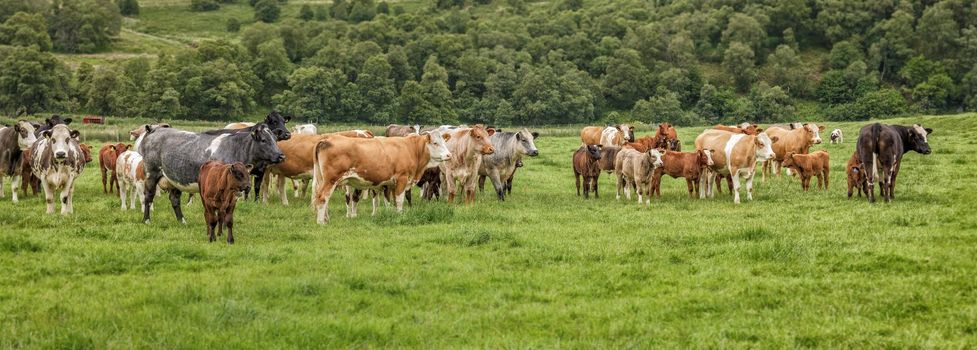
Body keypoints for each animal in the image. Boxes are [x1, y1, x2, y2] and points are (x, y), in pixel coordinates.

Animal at [139, 123, 288, 223]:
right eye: (264, 140)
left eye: (275, 139)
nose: (281, 156)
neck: (235, 148)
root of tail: (155, 129)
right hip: (151, 173)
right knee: (148, 196)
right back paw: (146, 220)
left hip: (173, 179)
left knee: (175, 199)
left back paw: (182, 221)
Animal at [310, 131, 452, 224]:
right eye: (435, 143)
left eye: (445, 142)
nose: (449, 155)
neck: (411, 149)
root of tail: (327, 139)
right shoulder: (402, 179)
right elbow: (399, 200)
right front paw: (400, 215)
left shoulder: (390, 184)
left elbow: (391, 201)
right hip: (331, 180)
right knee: (322, 198)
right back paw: (321, 222)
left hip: (322, 179)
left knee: (320, 197)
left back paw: (326, 219)